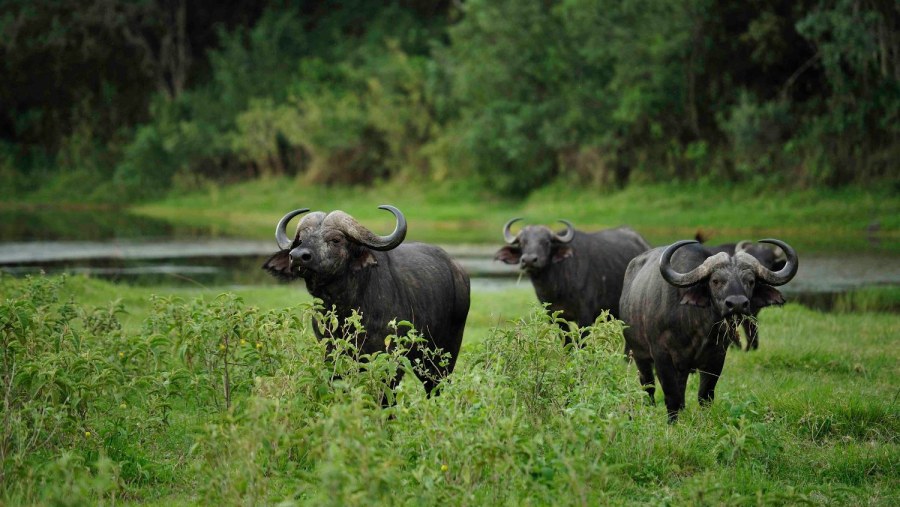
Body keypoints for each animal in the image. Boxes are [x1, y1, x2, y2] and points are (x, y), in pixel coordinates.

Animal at [262, 204, 468, 394]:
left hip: (444, 355)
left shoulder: (389, 360)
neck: (346, 307)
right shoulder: (331, 353)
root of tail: (459, 270)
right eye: (301, 240)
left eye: (336, 239)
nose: (297, 256)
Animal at [496, 217, 652, 334]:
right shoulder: (555, 317)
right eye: (522, 242)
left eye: (546, 242)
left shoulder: (585, 315)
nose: (528, 260)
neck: (557, 286)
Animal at [620, 240, 800, 422]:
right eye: (715, 281)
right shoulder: (661, 355)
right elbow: (671, 395)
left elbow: (705, 396)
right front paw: (672, 422)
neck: (696, 327)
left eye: (750, 281)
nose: (737, 304)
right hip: (639, 355)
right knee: (648, 386)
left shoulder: (716, 356)